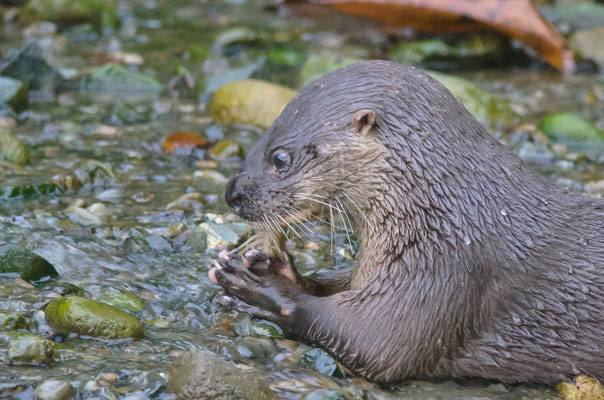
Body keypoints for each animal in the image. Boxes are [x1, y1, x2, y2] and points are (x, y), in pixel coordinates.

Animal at [208, 60, 604, 384]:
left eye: (280, 158)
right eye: (256, 142)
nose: (232, 192)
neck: (445, 214)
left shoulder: (448, 269)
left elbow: (375, 340)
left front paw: (263, 286)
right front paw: (281, 271)